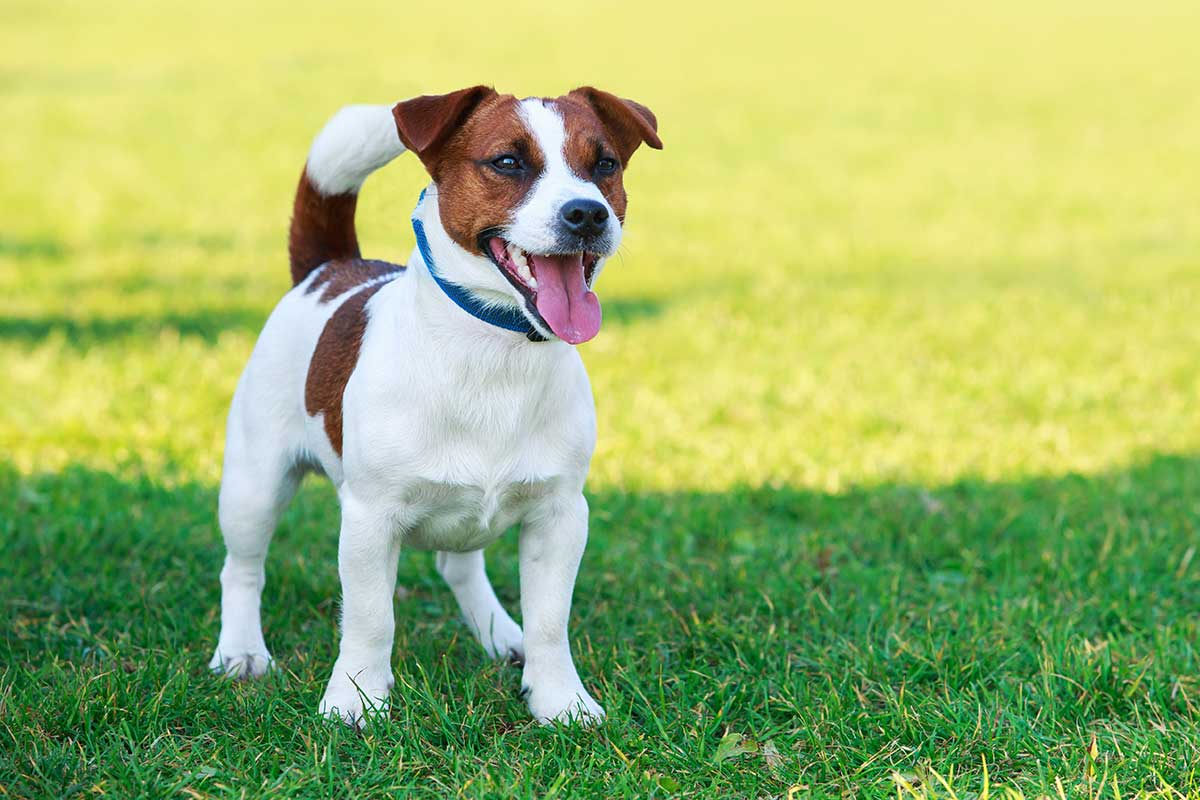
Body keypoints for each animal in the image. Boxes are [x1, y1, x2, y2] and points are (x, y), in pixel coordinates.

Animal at [206, 86, 657, 724]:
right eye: (508, 162)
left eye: (605, 165)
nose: (588, 213)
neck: (494, 352)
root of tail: (331, 267)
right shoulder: (369, 519)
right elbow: (370, 619)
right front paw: (355, 700)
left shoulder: (561, 515)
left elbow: (551, 623)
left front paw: (559, 701)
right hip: (254, 483)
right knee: (242, 567)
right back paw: (242, 651)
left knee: (459, 565)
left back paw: (501, 634)